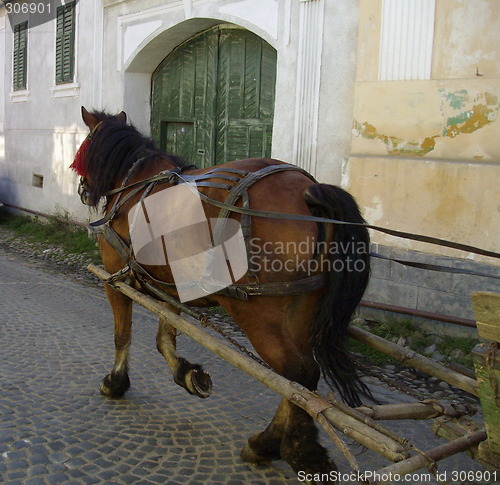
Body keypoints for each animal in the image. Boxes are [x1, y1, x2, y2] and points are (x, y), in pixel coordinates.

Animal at [73, 107, 372, 480]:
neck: (135, 182)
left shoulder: (117, 280)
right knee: (299, 382)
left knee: (298, 373)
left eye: (83, 146)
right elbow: (165, 336)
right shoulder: (168, 284)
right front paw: (188, 374)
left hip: (258, 313)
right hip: (301, 308)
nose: (84, 190)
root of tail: (308, 191)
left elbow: (122, 335)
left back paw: (294, 449)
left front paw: (116, 382)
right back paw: (268, 442)